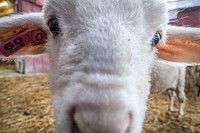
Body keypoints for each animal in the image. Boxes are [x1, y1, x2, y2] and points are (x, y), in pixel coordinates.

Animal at [0, 0, 199, 132]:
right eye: (52, 24)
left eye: (157, 38)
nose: (100, 122)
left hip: (180, 81)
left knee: (181, 97)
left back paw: (179, 114)